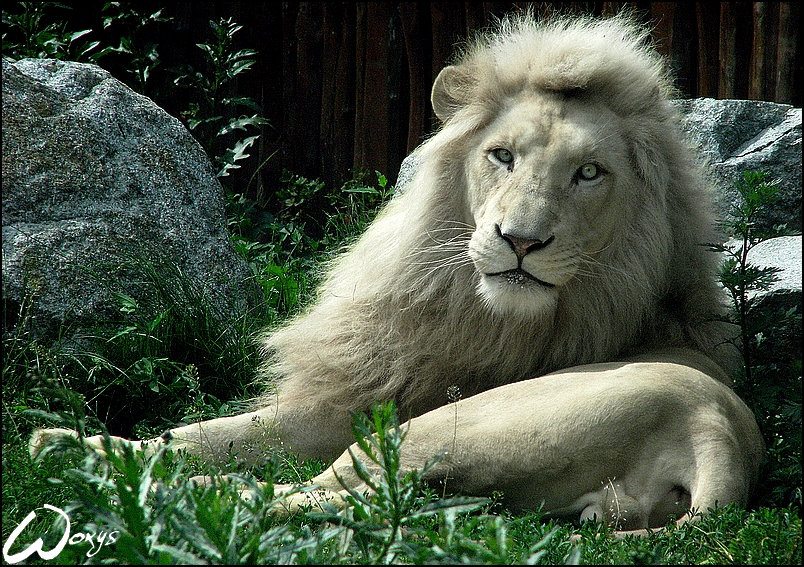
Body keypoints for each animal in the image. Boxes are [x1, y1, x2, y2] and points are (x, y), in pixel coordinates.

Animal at [30, 12, 764, 534]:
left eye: (590, 172)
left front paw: (64, 441)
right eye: (501, 156)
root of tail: (718, 433)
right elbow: (204, 433)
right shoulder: (353, 397)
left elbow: (212, 438)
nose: (520, 242)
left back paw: (127, 483)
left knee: (301, 497)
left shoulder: (372, 409)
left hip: (435, 429)